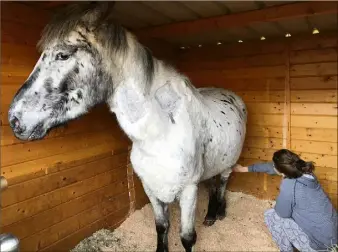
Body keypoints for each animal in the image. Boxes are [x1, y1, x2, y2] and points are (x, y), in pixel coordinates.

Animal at [7, 2, 246, 252]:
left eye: (62, 54)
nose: (15, 119)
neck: (160, 135)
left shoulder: (189, 191)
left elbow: (187, 237)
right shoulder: (151, 189)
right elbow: (162, 226)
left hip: (228, 166)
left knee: (222, 183)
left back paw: (218, 213)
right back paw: (210, 215)